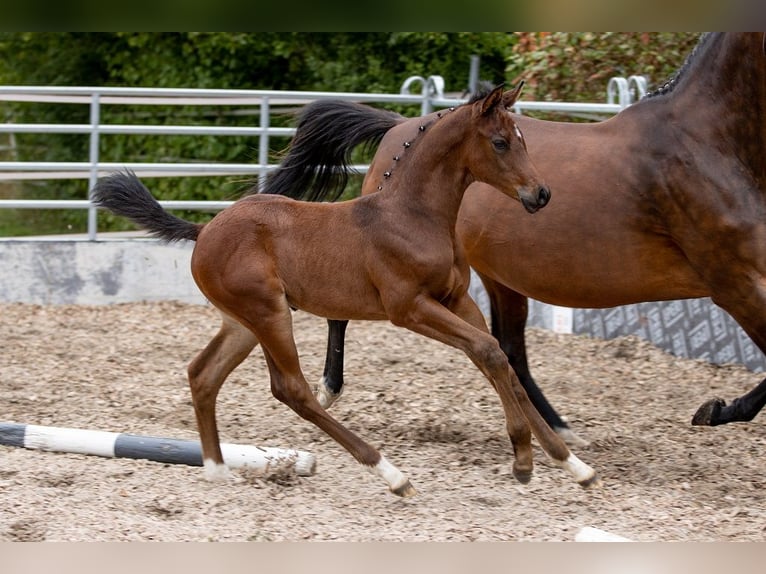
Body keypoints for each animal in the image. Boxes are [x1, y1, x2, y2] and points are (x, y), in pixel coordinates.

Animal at [94, 86, 600, 500]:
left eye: (523, 139)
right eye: (499, 142)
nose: (540, 194)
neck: (413, 216)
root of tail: (204, 231)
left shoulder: (457, 300)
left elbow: (497, 358)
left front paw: (573, 465)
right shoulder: (409, 308)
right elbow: (489, 352)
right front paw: (523, 461)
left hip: (242, 323)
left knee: (203, 374)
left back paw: (218, 470)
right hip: (269, 313)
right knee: (291, 389)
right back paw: (392, 475)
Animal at [280, 31, 766, 448]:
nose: (541, 194)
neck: (707, 143)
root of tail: (400, 126)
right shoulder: (733, 285)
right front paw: (714, 410)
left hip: (500, 278)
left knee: (509, 347)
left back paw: (557, 428)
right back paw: (328, 388)